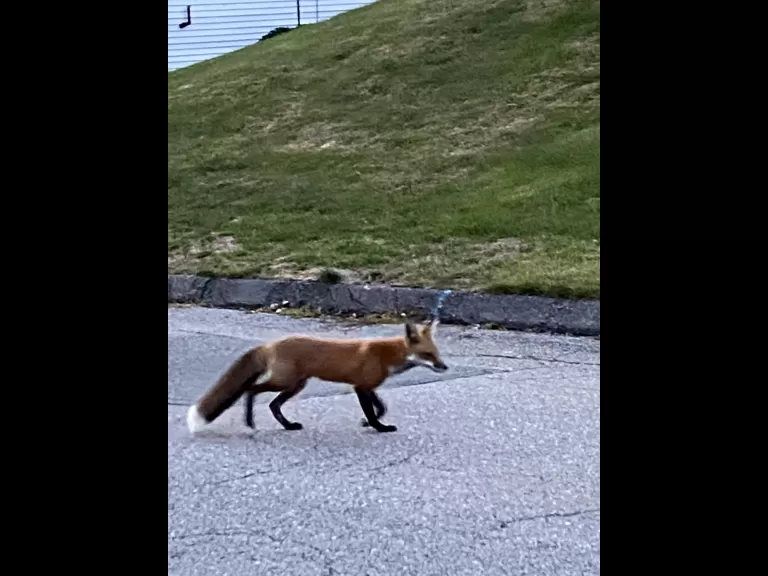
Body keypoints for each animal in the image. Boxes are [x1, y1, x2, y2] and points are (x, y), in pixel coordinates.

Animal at [186, 318, 449, 435]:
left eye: (437, 353)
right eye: (427, 354)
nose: (444, 367)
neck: (387, 355)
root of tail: (270, 344)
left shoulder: (367, 385)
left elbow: (380, 408)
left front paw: (368, 422)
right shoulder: (361, 387)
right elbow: (374, 412)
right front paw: (378, 427)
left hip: (296, 385)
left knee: (273, 405)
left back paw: (288, 425)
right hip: (285, 382)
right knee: (251, 390)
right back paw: (250, 422)